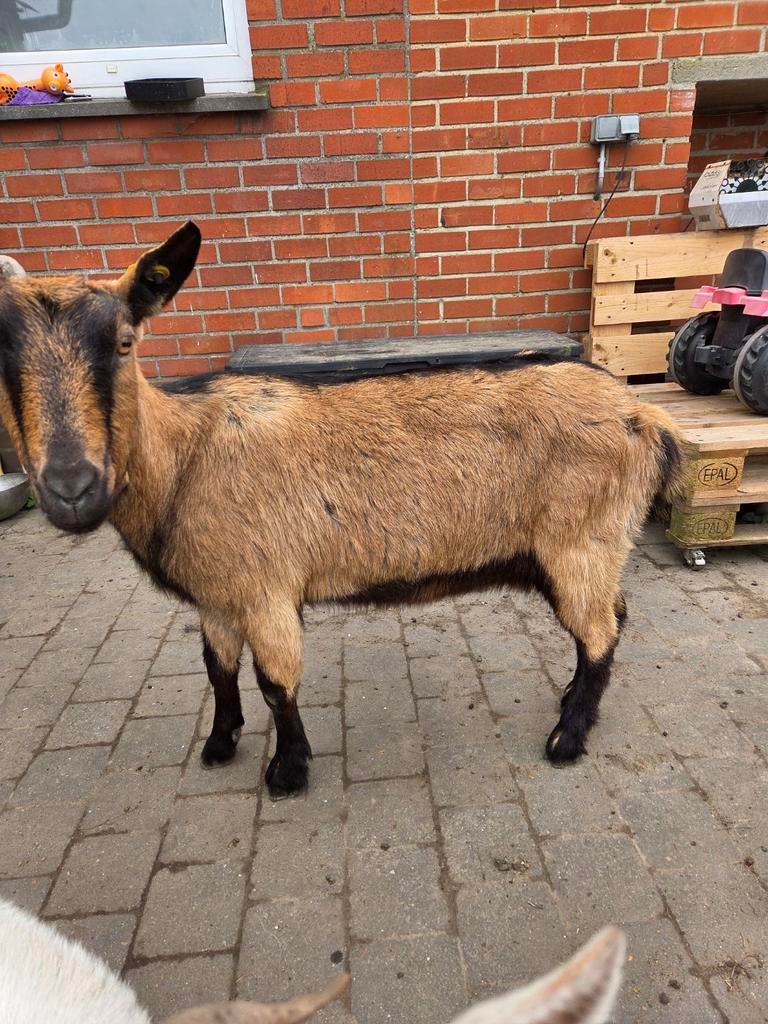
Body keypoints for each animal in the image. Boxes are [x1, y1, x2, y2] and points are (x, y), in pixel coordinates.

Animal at [0, 223, 683, 798]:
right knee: (611, 618)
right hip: (585, 549)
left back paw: (567, 738)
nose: (71, 488)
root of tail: (645, 416)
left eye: (124, 342)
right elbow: (217, 669)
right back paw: (571, 702)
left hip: (580, 540)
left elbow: (275, 682)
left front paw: (287, 772)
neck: (183, 456)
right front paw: (220, 744)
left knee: (598, 633)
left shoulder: (266, 589)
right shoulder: (217, 595)